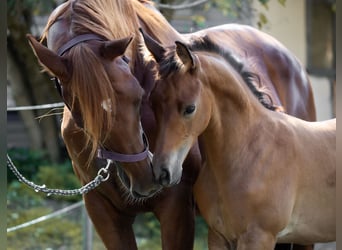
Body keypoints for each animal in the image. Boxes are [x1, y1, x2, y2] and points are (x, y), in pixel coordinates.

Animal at [143, 36, 336, 249]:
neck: (250, 151)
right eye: (152, 103)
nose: (162, 172)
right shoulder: (218, 236)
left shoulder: (258, 237)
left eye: (190, 108)